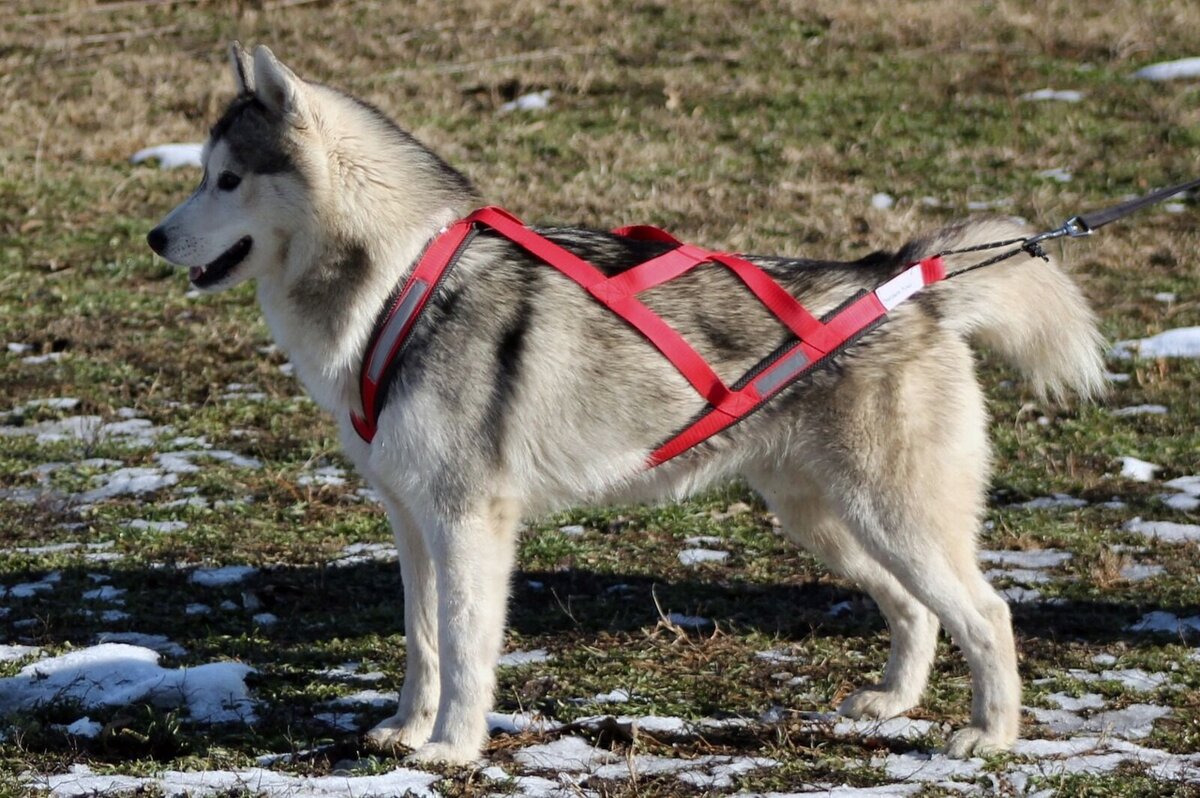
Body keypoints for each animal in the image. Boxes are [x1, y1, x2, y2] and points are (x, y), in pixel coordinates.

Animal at [150, 45, 1104, 768]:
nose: (154, 238)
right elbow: (422, 644)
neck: (400, 284)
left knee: (988, 613)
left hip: (893, 517)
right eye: (202, 175)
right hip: (827, 521)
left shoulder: (468, 522)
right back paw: (891, 704)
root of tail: (903, 280)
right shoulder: (413, 521)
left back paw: (989, 735)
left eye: (228, 180)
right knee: (915, 610)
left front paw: (452, 748)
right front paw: (407, 731)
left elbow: (463, 645)